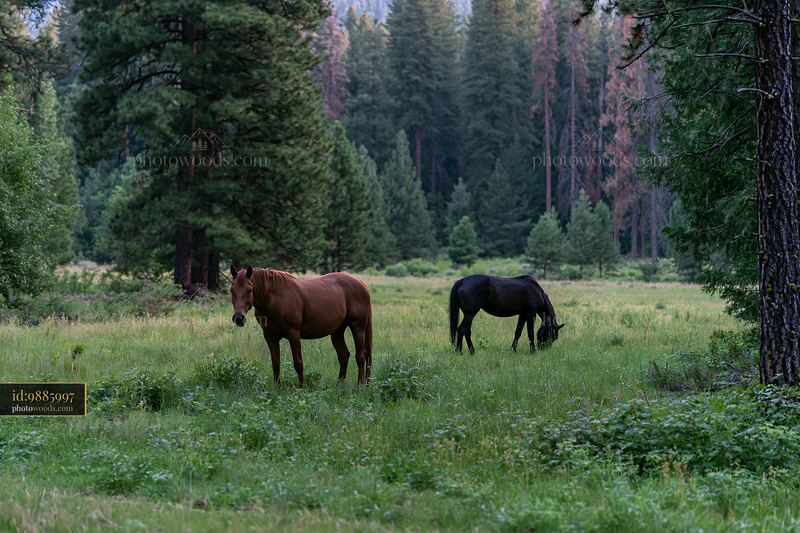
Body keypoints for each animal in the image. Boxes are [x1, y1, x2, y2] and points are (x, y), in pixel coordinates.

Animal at [229, 265, 373, 386]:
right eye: (232, 290)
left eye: (250, 290)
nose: (239, 318)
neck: (276, 298)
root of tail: (362, 284)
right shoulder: (270, 336)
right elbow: (276, 364)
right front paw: (277, 389)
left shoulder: (293, 334)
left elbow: (298, 363)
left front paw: (303, 387)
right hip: (337, 332)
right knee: (344, 356)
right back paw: (339, 386)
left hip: (358, 327)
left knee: (361, 356)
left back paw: (360, 385)